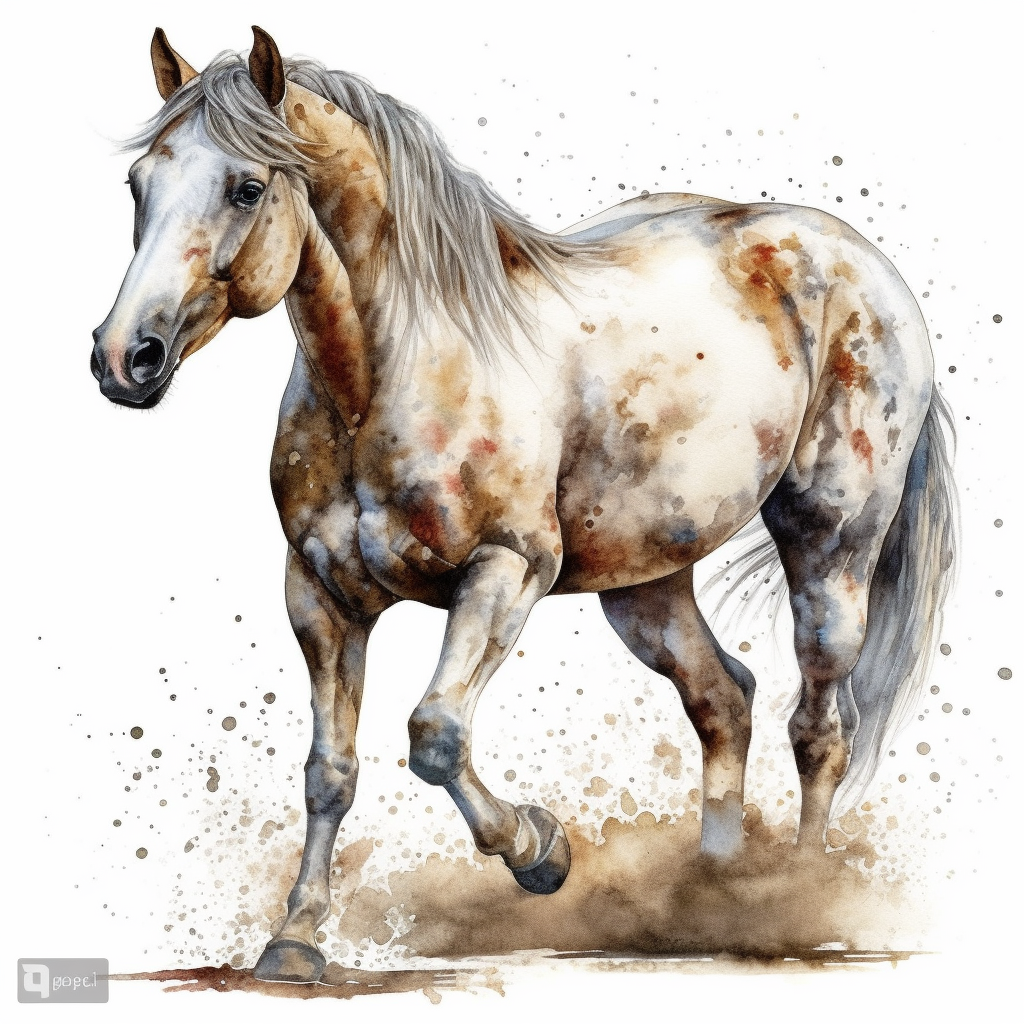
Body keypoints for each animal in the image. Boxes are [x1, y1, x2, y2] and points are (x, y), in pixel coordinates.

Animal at [91, 27, 957, 982]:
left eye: (246, 187)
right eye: (139, 185)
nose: (124, 357)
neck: (396, 369)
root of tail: (857, 259)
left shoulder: (508, 568)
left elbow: (435, 734)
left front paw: (542, 851)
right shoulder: (320, 597)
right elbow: (329, 769)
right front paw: (295, 940)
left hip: (831, 546)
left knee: (820, 725)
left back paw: (793, 900)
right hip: (644, 582)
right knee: (723, 700)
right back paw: (709, 900)